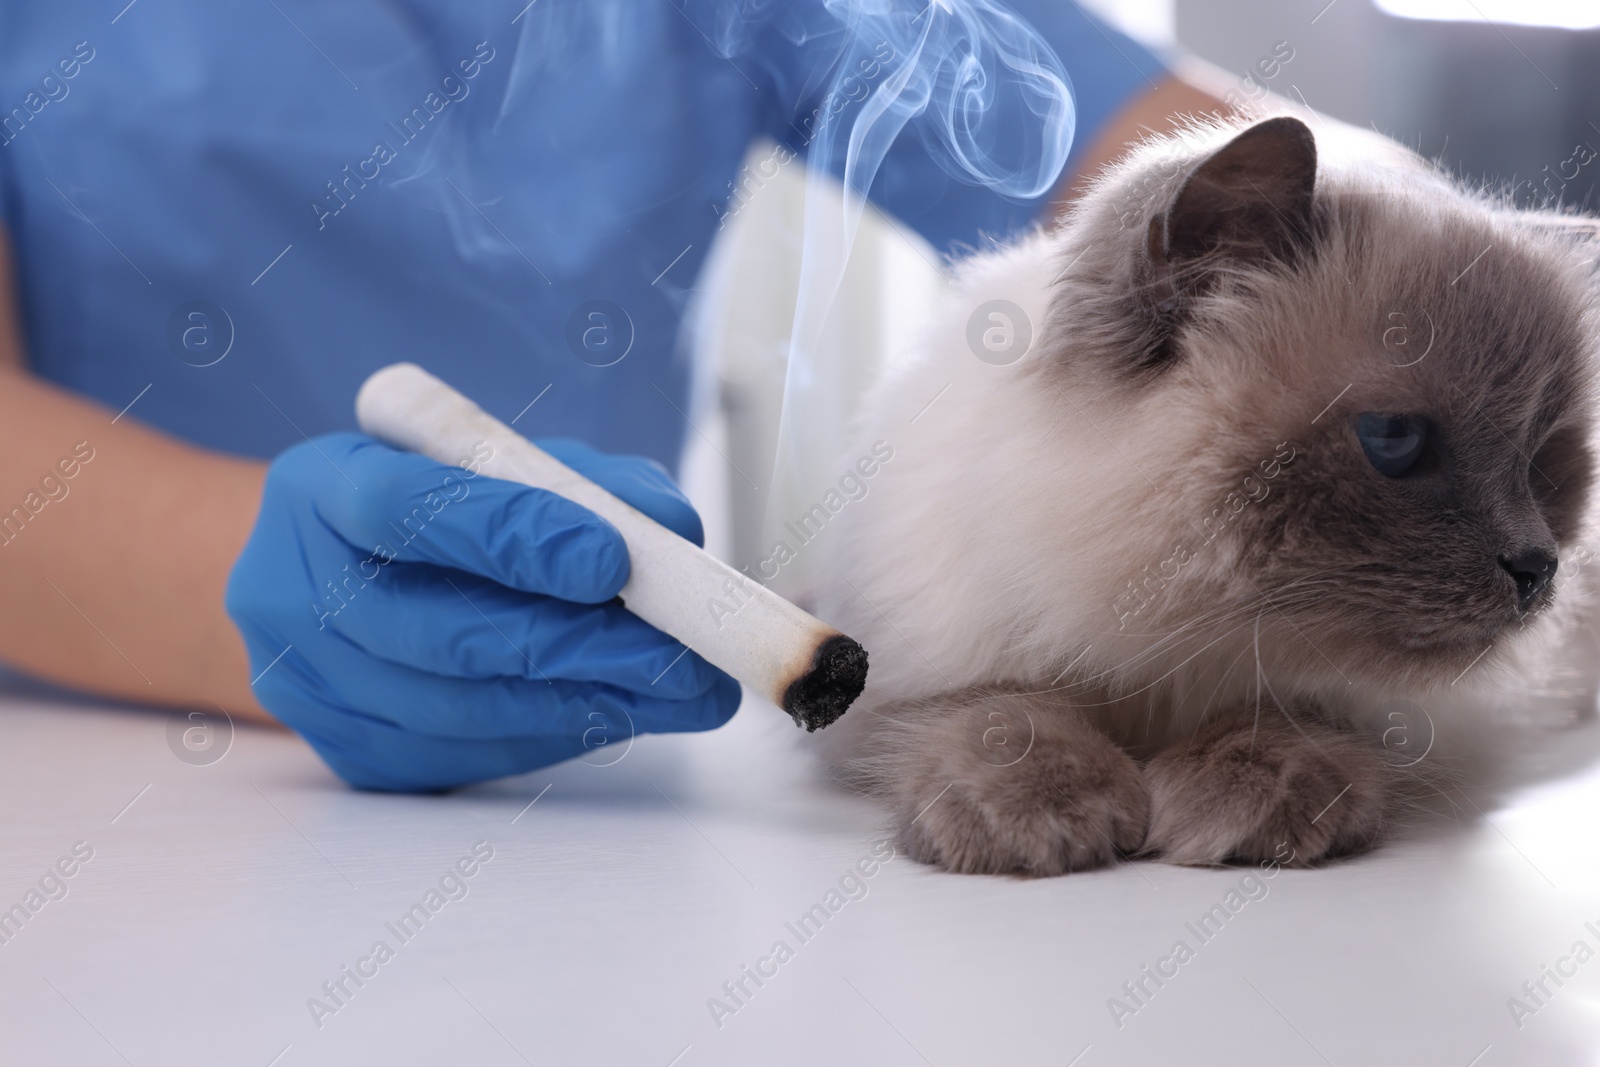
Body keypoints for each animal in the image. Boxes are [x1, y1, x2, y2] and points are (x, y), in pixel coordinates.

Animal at [806, 112, 1600, 876]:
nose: (1537, 567)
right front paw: (1043, 812)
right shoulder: (900, 677)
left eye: (1542, 461)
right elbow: (999, 712)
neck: (1161, 662)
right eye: (1394, 440)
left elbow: (1283, 718)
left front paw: (1237, 804)